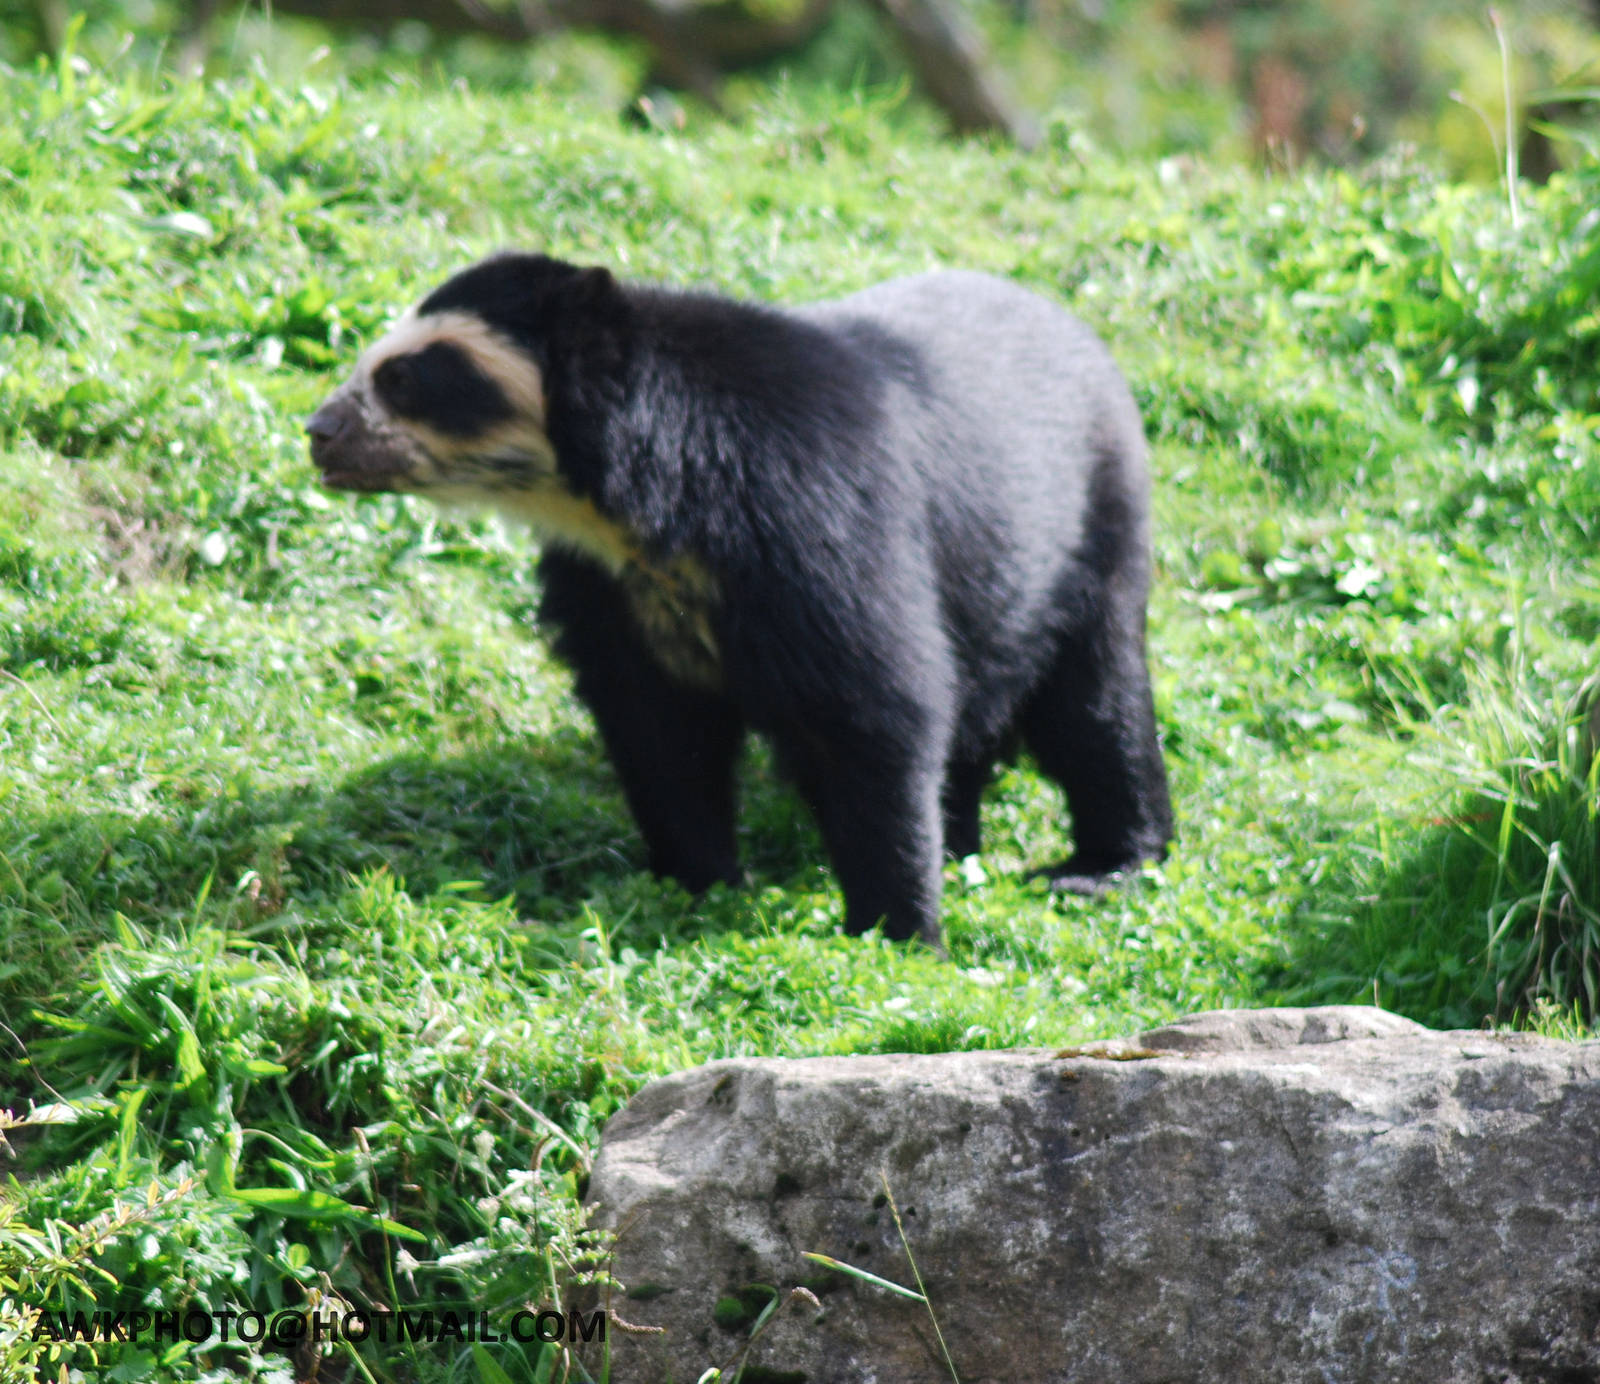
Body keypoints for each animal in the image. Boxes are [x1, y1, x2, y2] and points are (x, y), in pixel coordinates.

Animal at [307, 252, 1172, 948]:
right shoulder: (607, 589)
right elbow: (659, 734)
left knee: (1095, 705)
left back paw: (1102, 865)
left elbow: (875, 708)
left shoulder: (820, 523)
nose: (318, 431)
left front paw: (897, 931)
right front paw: (697, 883)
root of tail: (1080, 332)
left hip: (1094, 530)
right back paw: (962, 841)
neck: (644, 515)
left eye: (405, 376)